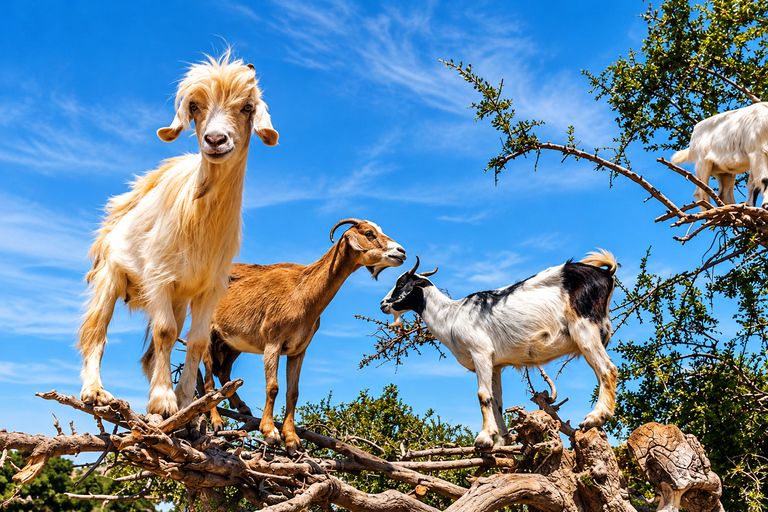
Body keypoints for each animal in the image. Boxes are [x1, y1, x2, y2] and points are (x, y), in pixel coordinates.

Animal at [78, 51, 279, 417]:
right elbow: (165, 331)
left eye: (247, 107)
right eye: (195, 106)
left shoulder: (208, 288)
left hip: (179, 297)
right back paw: (95, 392)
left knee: (148, 354)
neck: (199, 217)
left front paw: (185, 401)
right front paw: (162, 400)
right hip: (110, 276)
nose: (215, 140)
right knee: (95, 333)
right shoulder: (159, 277)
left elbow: (196, 340)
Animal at [144, 218, 406, 455]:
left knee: (223, 372)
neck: (303, 291)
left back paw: (242, 407)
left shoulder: (298, 349)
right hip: (209, 334)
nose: (401, 252)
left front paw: (291, 440)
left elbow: (293, 392)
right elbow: (273, 387)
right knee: (208, 381)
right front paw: (270, 431)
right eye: (369, 233)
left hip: (233, 343)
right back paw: (217, 421)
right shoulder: (273, 343)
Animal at [380, 251, 618, 450]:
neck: (451, 316)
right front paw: (502, 441)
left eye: (401, 283)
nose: (383, 304)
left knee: (607, 369)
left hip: (585, 329)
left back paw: (595, 417)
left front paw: (483, 439)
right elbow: (496, 400)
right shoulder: (495, 364)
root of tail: (606, 274)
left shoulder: (480, 352)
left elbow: (482, 395)